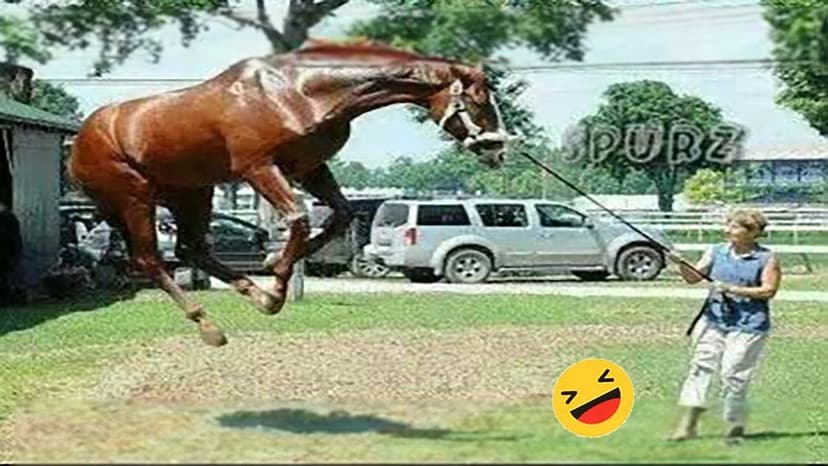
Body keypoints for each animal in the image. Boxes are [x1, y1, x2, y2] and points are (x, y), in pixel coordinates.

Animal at [68, 39, 513, 347]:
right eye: (478, 98)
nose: (498, 149)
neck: (297, 91)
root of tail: (80, 142)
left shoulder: (310, 168)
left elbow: (341, 216)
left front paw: (273, 267)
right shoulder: (259, 168)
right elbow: (298, 218)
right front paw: (279, 277)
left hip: (192, 193)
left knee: (191, 249)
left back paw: (255, 296)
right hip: (135, 199)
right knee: (150, 260)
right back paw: (209, 325)